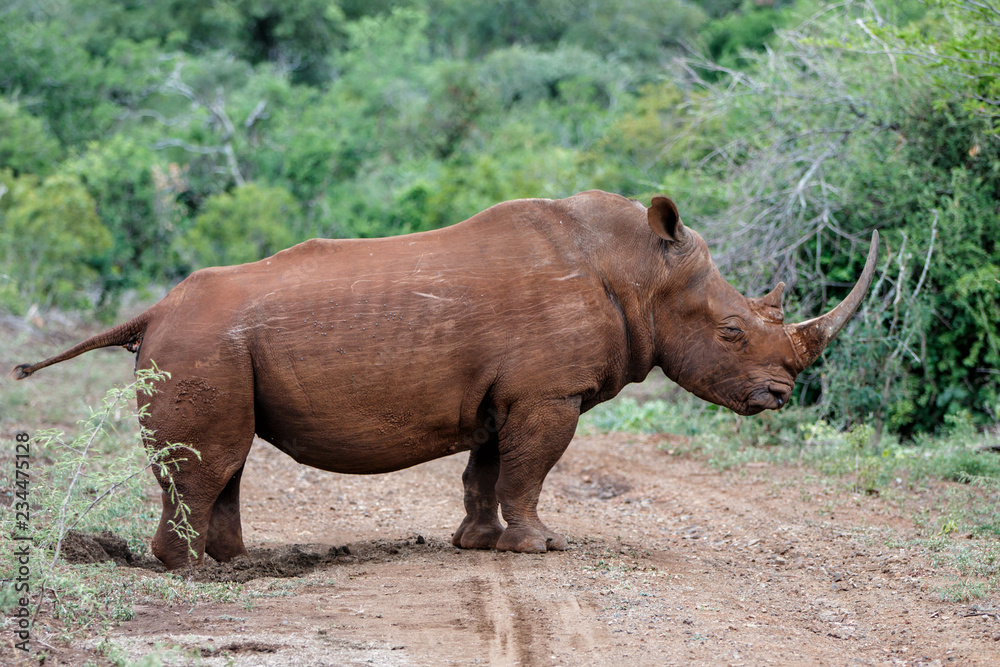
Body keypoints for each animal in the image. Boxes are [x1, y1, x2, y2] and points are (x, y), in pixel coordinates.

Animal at [12, 191, 878, 569]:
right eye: (731, 332)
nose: (780, 397)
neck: (638, 267)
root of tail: (152, 308)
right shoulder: (547, 393)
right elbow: (529, 470)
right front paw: (541, 546)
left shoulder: (510, 393)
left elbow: (486, 469)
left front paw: (477, 543)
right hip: (201, 342)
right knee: (212, 460)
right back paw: (188, 569)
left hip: (205, 342)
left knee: (227, 460)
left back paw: (229, 562)